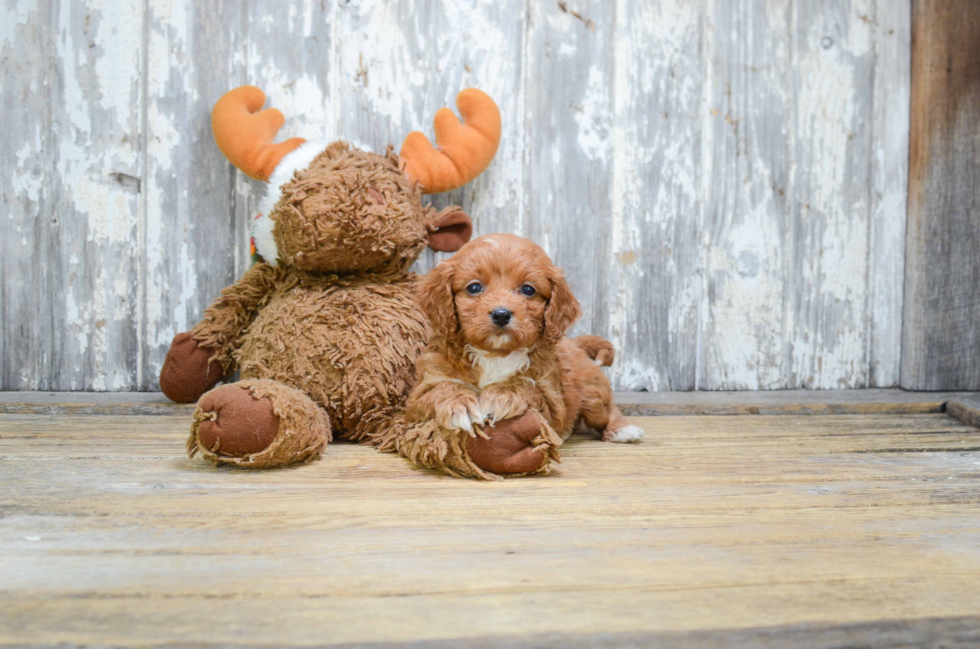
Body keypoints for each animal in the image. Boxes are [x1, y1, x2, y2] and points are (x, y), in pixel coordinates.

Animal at [404, 234, 644, 470]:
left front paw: (501, 394)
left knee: (607, 411)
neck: (495, 353)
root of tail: (574, 344)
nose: (501, 314)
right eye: (474, 288)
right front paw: (460, 404)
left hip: (592, 393)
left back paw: (623, 429)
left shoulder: (552, 399)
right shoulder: (419, 395)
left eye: (528, 290)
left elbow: (528, 386)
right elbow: (441, 388)